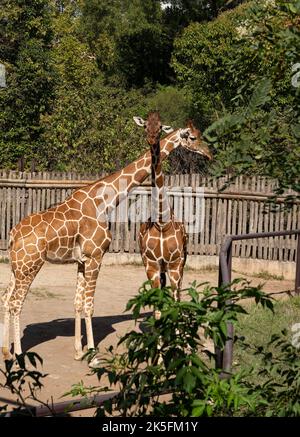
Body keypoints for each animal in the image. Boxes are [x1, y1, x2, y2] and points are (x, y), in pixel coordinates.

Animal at [1, 123, 211, 362]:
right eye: (193, 137)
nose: (209, 154)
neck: (104, 201)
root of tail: (13, 234)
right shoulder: (95, 257)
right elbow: (89, 306)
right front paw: (93, 355)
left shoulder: (82, 261)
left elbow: (78, 303)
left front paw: (78, 351)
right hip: (30, 266)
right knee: (16, 303)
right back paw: (18, 355)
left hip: (16, 267)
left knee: (6, 299)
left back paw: (6, 351)